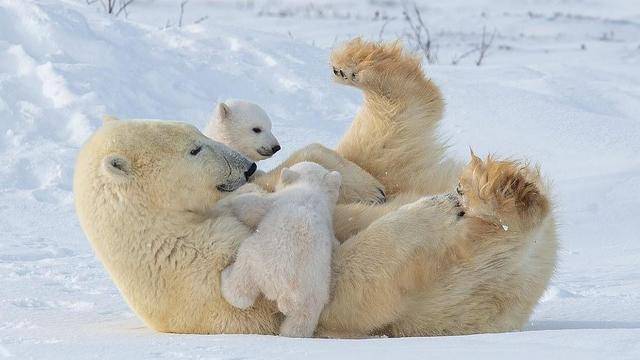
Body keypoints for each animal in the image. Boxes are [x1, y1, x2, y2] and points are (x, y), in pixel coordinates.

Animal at [220, 162, 340, 338]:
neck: (311, 189)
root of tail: (285, 292)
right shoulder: (329, 223)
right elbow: (335, 241)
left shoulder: (278, 200)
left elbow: (251, 206)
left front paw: (238, 199)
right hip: (314, 294)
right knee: (300, 322)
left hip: (257, 261)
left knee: (241, 290)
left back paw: (226, 276)